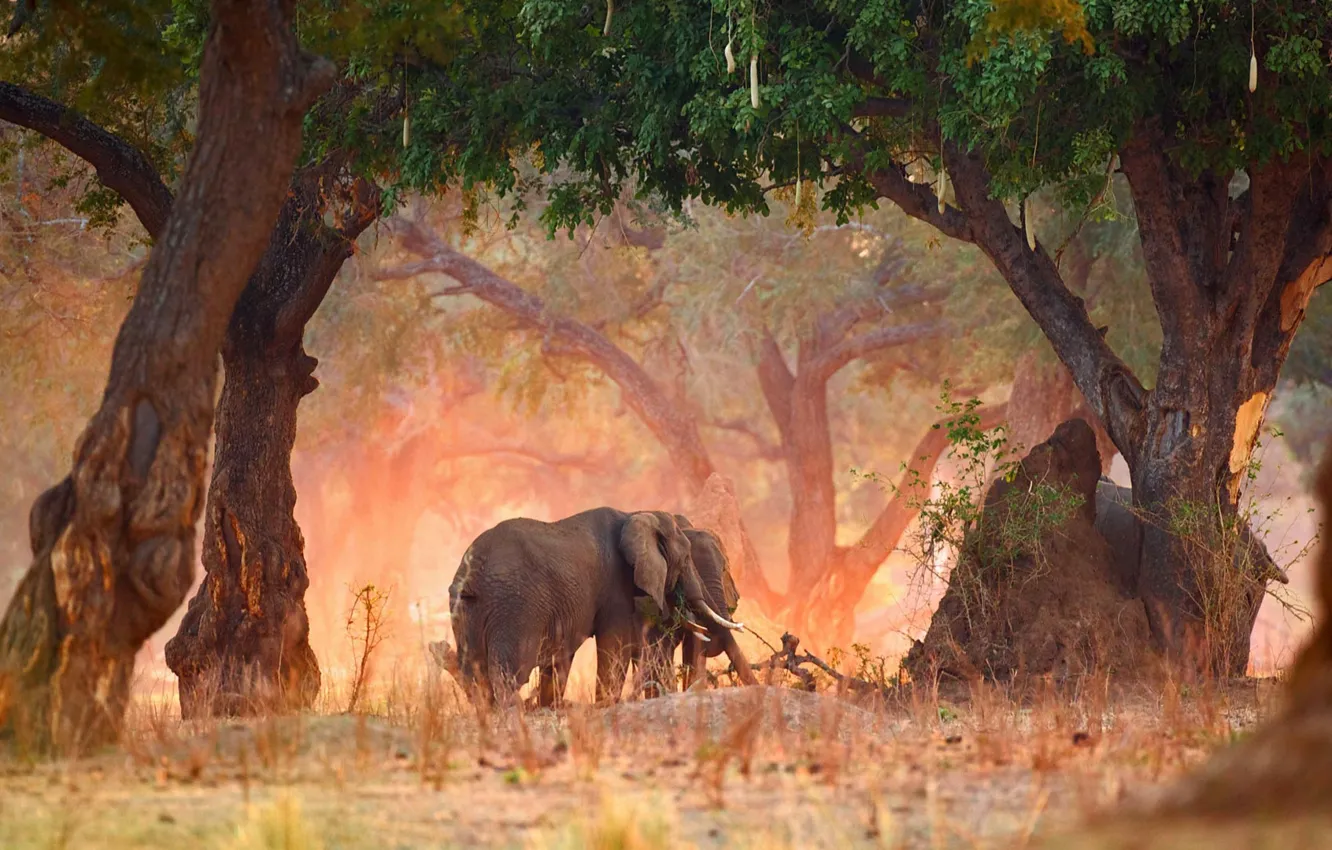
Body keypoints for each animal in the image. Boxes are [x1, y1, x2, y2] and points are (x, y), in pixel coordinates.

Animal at [438, 507, 744, 707]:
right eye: (686, 558)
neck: (637, 514)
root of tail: (473, 571)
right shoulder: (616, 587)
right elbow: (615, 646)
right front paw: (605, 706)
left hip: (467, 610)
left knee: (474, 671)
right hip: (514, 606)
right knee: (509, 673)